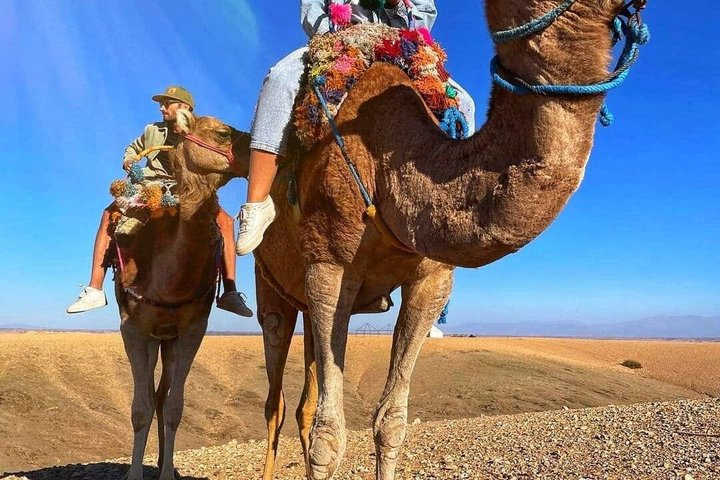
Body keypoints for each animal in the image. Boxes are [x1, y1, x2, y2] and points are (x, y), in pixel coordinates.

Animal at [115, 120, 248, 480]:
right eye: (222, 132)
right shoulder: (133, 328)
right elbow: (139, 408)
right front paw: (134, 474)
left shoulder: (193, 327)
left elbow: (175, 406)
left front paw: (165, 472)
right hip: (154, 337)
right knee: (151, 396)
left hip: (170, 339)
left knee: (162, 397)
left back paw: (167, 464)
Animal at [174, 1, 646, 478]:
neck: (385, 161)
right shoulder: (329, 267)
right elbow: (330, 434)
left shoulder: (432, 278)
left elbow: (391, 421)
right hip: (271, 287)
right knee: (276, 401)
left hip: (305, 301)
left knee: (305, 402)